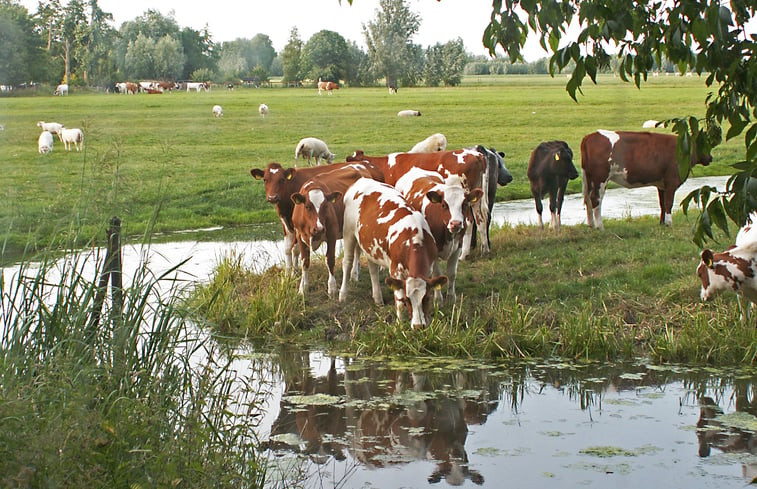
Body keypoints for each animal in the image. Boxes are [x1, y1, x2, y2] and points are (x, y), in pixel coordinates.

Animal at [251, 163, 384, 270]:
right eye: (265, 179)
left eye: (282, 179)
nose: (272, 197)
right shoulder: (287, 224)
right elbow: (289, 249)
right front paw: (289, 275)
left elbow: (296, 250)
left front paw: (295, 272)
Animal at [338, 177, 448, 330]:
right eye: (408, 300)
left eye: (426, 298)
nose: (418, 326)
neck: (415, 238)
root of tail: (361, 180)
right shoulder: (395, 270)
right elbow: (399, 301)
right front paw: (400, 324)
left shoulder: (429, 268)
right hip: (348, 233)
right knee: (347, 263)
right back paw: (342, 295)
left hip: (370, 245)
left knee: (373, 269)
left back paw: (378, 298)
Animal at [392, 170, 482, 304]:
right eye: (444, 205)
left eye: (465, 204)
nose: (456, 223)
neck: (448, 234)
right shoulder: (432, 252)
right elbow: (437, 274)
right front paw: (438, 299)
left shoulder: (458, 247)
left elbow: (451, 273)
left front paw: (451, 296)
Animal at [580, 130, 712, 229]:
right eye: (704, 144)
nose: (710, 158)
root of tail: (590, 136)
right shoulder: (672, 181)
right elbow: (669, 203)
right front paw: (669, 223)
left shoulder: (661, 184)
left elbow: (662, 204)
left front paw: (662, 223)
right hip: (600, 178)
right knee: (595, 199)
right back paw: (600, 226)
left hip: (589, 178)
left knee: (588, 199)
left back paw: (591, 225)